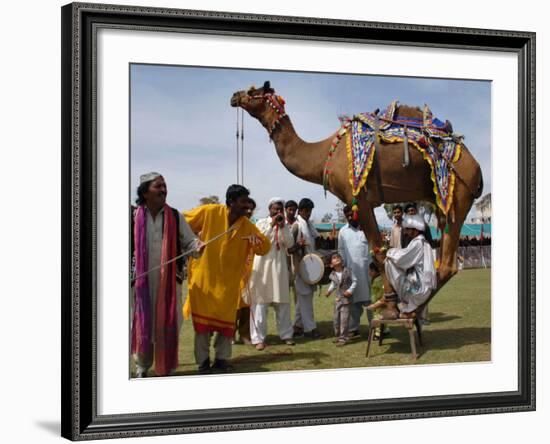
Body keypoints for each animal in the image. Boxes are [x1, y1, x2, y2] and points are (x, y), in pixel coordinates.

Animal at [231, 80, 486, 316]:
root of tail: (477, 168)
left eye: (253, 91)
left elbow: (379, 250)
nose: (234, 96)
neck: (325, 155)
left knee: (448, 264)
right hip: (443, 203)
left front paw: (389, 305)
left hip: (458, 195)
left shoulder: (360, 198)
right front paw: (385, 302)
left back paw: (411, 308)